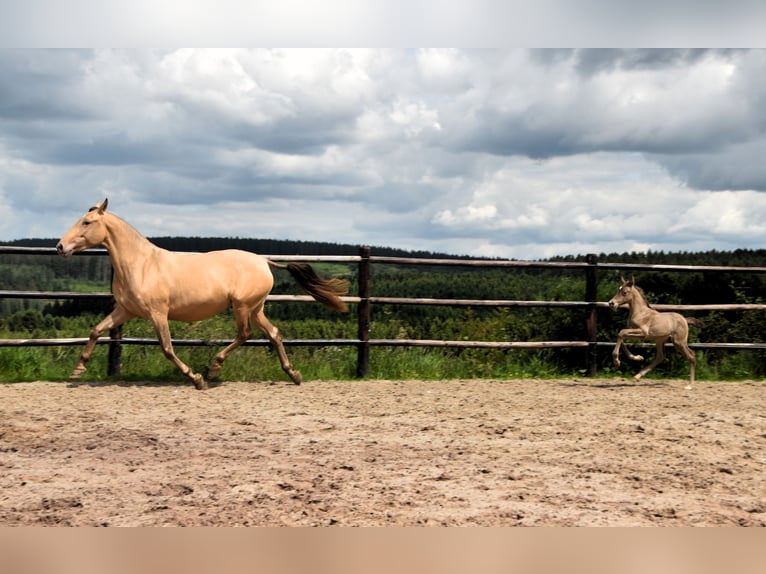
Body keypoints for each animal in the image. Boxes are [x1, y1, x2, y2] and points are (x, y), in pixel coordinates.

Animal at [55, 199, 350, 392]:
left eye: (87, 222)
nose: (60, 247)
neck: (141, 265)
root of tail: (264, 261)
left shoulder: (157, 313)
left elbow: (167, 348)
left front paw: (196, 379)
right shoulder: (125, 310)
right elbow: (96, 330)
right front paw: (77, 370)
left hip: (242, 307)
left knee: (245, 334)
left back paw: (214, 368)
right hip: (256, 308)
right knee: (274, 334)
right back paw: (294, 374)